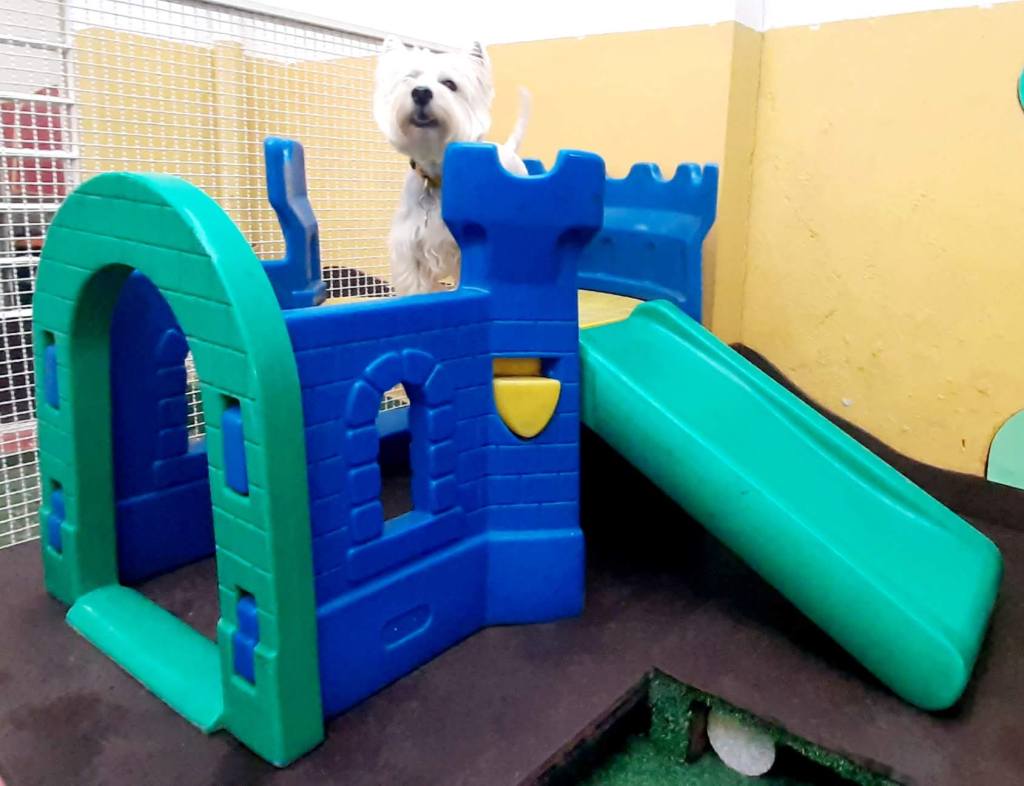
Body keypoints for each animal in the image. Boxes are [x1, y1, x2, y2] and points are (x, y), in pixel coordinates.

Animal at [373, 36, 530, 295]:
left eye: (450, 84)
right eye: (410, 78)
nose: (420, 92)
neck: (437, 176)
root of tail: (507, 148)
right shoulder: (410, 251)